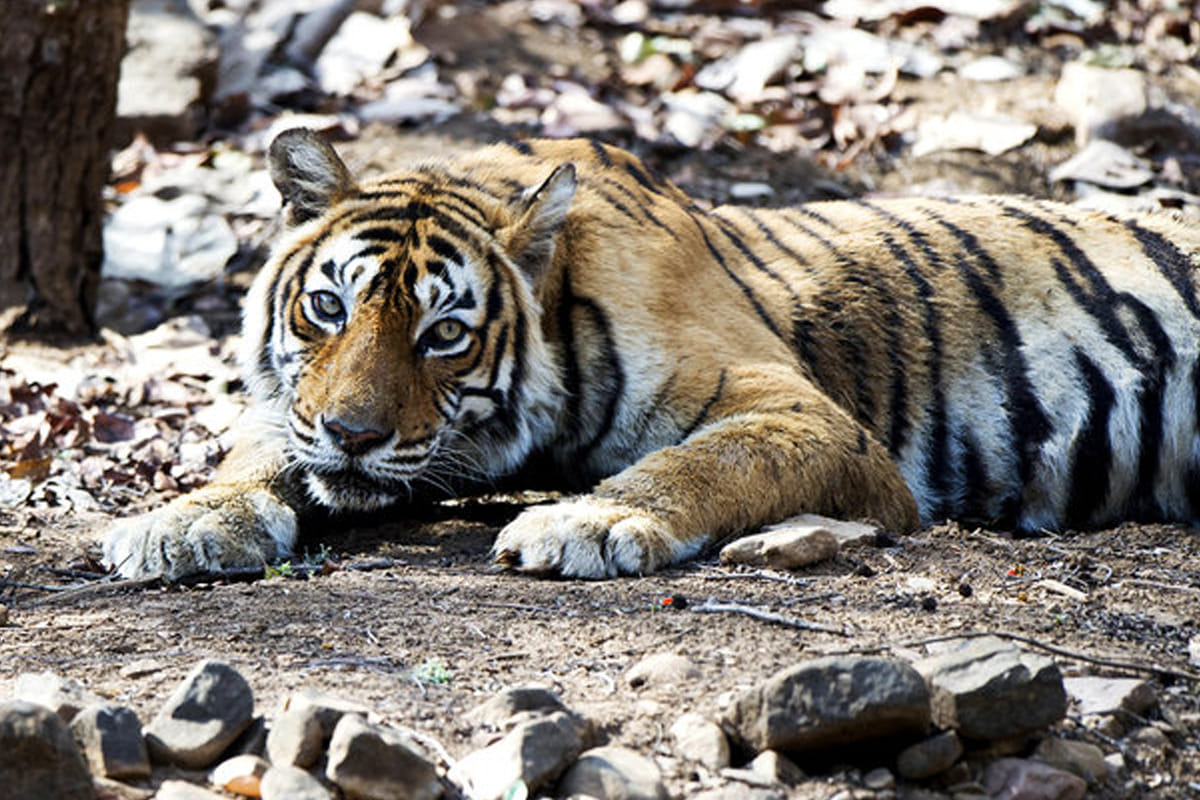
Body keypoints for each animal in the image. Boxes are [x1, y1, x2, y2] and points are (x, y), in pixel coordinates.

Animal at [102, 129, 1200, 580]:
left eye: (444, 333)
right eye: (327, 308)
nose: (354, 435)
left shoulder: (802, 413)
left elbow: (708, 459)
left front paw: (589, 520)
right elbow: (257, 450)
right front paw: (180, 523)